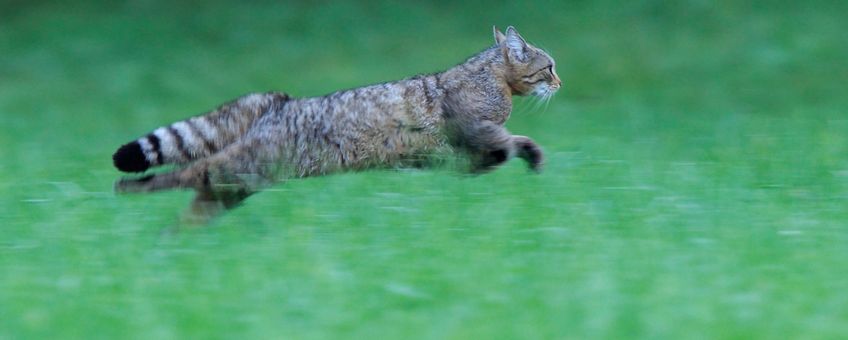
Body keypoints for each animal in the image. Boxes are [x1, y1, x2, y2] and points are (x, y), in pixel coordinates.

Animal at [114, 27, 564, 223]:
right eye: (549, 67)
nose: (560, 83)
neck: (491, 80)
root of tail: (278, 100)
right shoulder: (475, 131)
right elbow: (511, 139)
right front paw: (529, 153)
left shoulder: (462, 155)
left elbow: (501, 150)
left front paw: (524, 157)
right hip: (245, 167)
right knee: (187, 172)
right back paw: (129, 187)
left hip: (236, 184)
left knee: (195, 197)